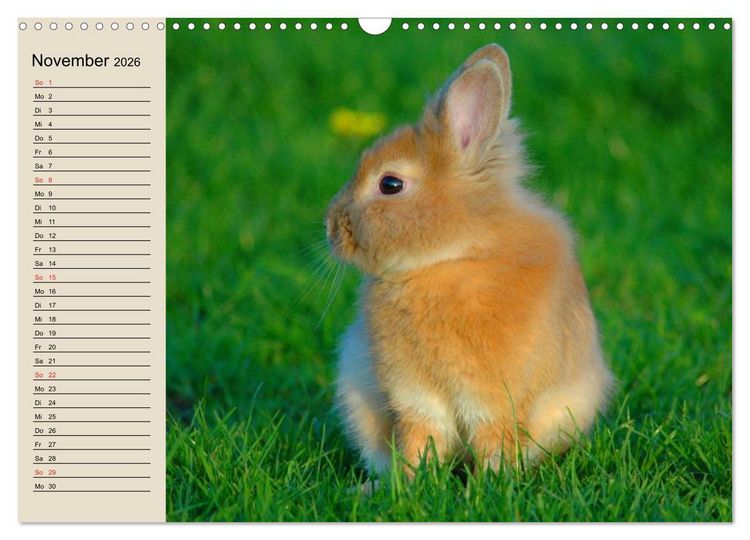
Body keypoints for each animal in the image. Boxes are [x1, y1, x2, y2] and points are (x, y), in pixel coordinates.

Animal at [326, 44, 614, 476]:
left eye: (390, 184)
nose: (331, 226)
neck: (450, 258)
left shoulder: (494, 398)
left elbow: (492, 439)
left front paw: (491, 482)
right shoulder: (415, 397)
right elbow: (419, 437)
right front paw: (407, 482)